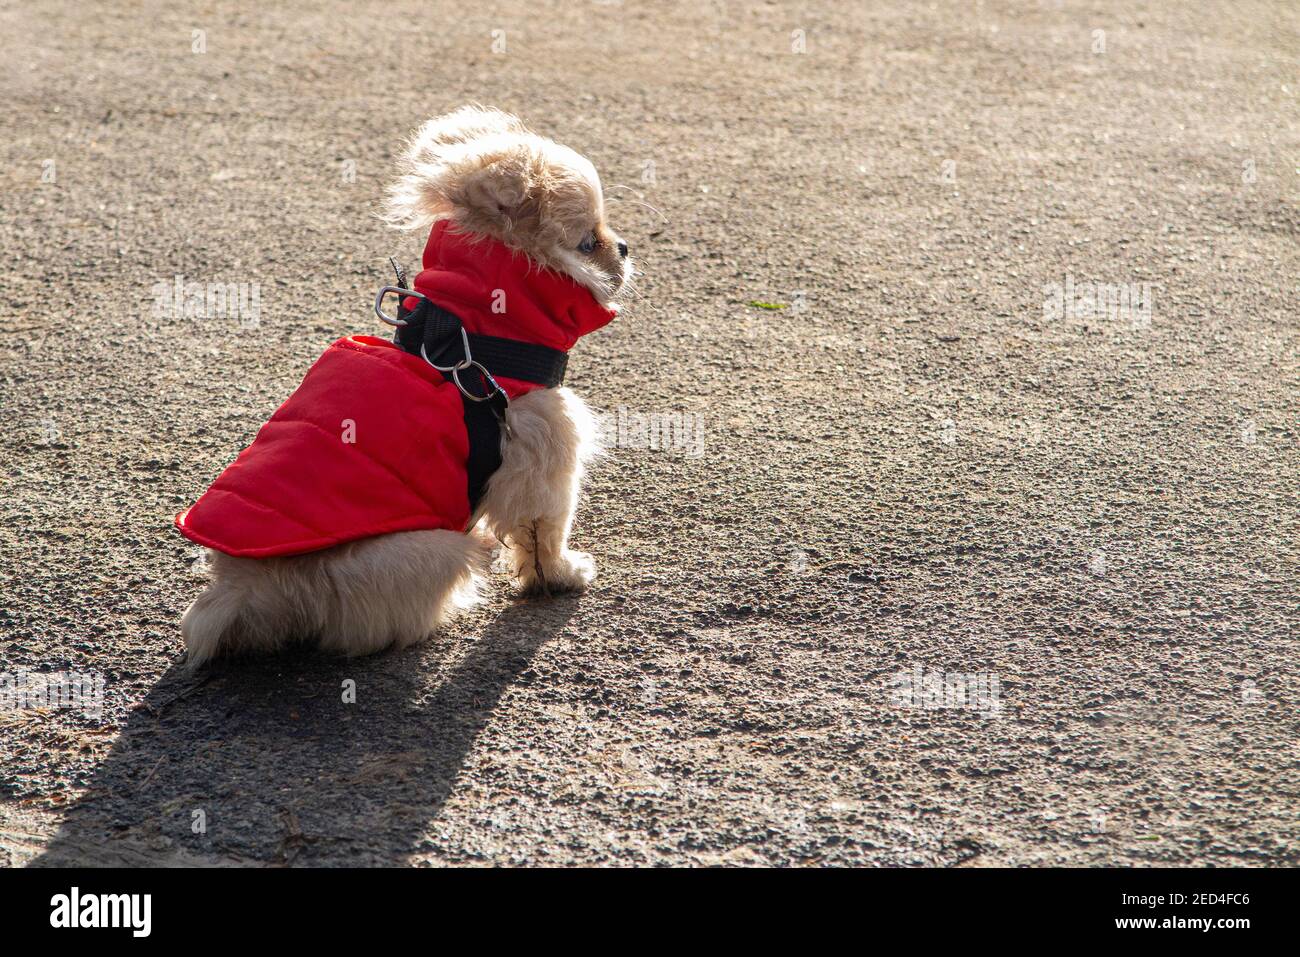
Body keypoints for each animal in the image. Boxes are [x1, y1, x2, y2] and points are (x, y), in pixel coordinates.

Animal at [179, 104, 634, 660]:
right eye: (588, 243)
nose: (625, 247)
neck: (475, 329)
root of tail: (243, 590)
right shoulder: (542, 453)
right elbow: (544, 532)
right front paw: (562, 575)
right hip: (433, 549)